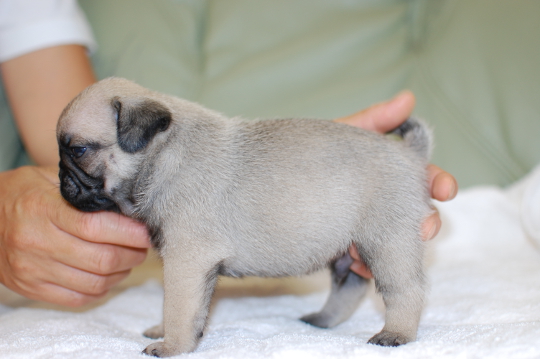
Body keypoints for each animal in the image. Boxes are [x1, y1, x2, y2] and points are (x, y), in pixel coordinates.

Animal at [57, 77, 432, 358]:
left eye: (79, 150)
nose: (61, 181)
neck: (163, 153)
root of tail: (409, 153)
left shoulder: (186, 261)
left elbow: (177, 306)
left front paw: (172, 345)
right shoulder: (192, 267)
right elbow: (191, 308)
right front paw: (170, 333)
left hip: (387, 241)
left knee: (405, 290)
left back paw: (395, 333)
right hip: (347, 250)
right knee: (350, 285)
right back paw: (324, 319)